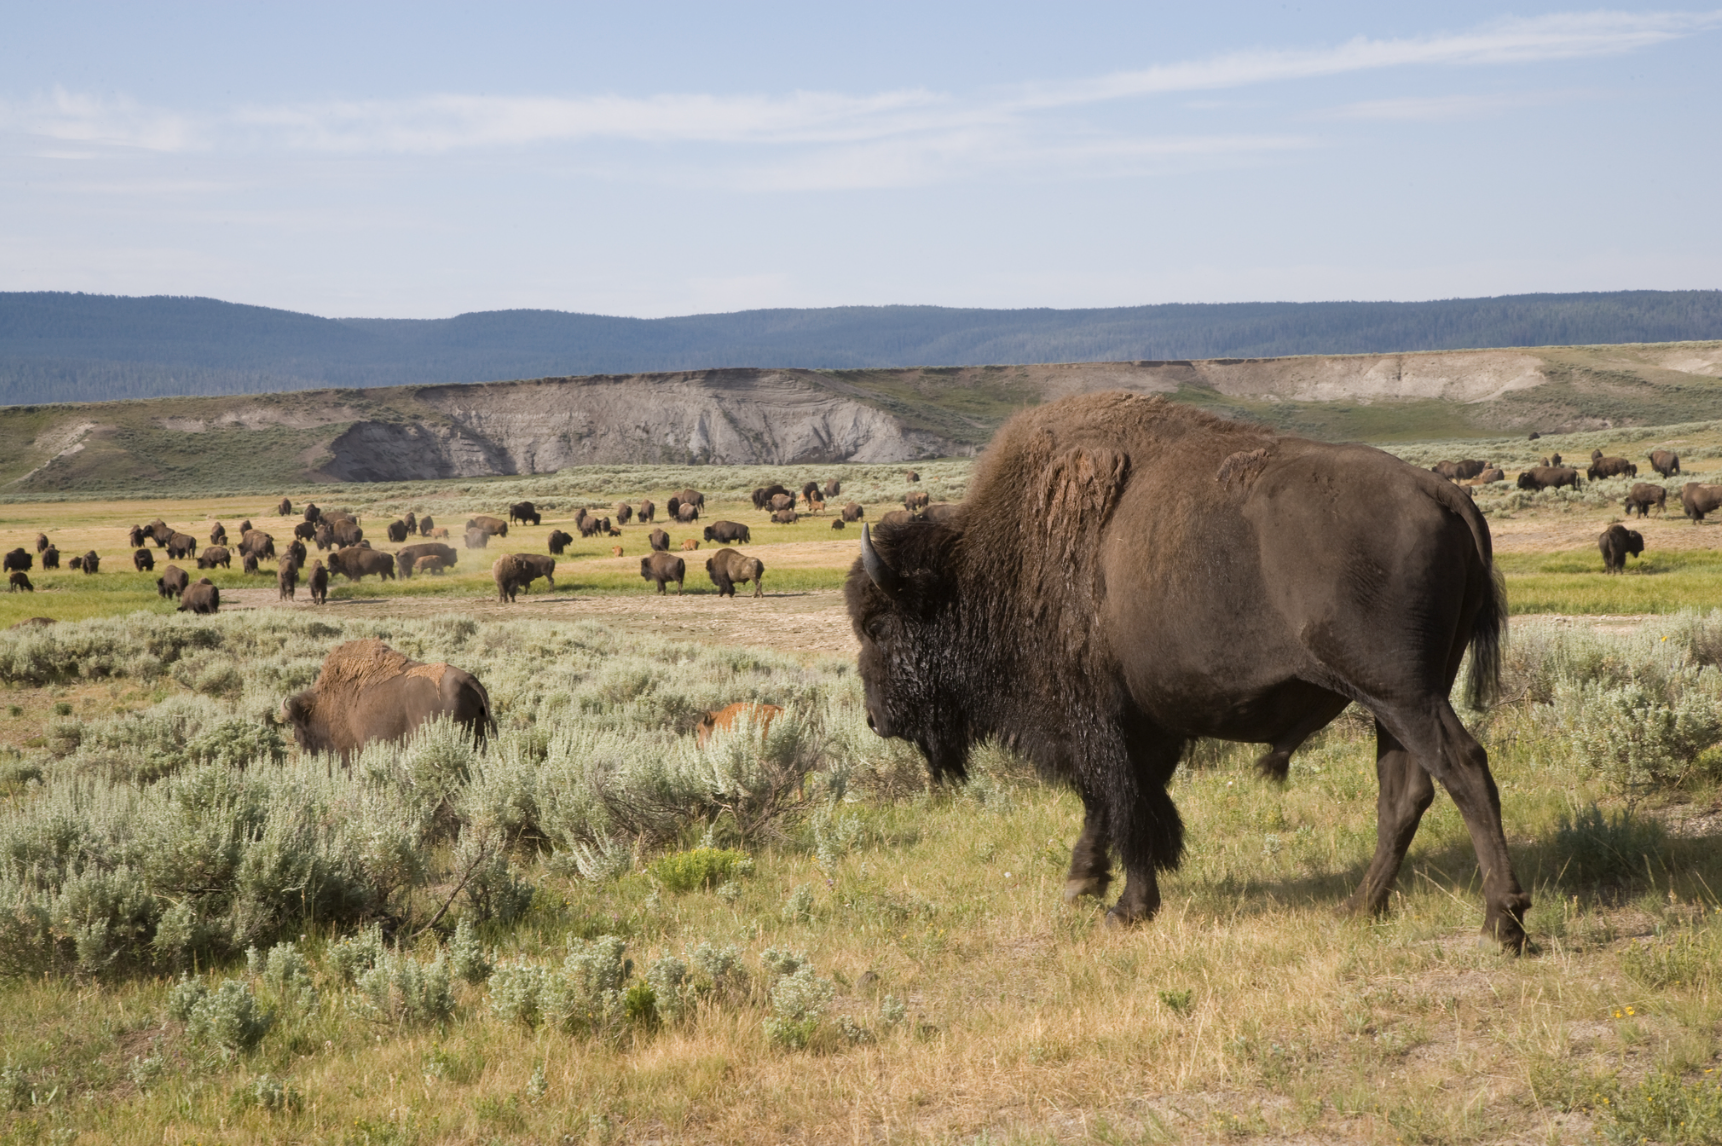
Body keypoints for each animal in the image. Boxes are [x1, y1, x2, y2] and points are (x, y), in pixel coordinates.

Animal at [850, 390, 1536, 942]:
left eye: (879, 626)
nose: (876, 719)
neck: (993, 563)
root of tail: (1444, 492)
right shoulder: (1144, 723)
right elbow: (1120, 804)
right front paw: (1084, 884)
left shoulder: (1100, 722)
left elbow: (1128, 806)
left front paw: (1124, 908)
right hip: (1394, 703)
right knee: (1404, 791)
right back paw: (1360, 908)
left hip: (1401, 694)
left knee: (1464, 769)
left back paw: (1502, 922)